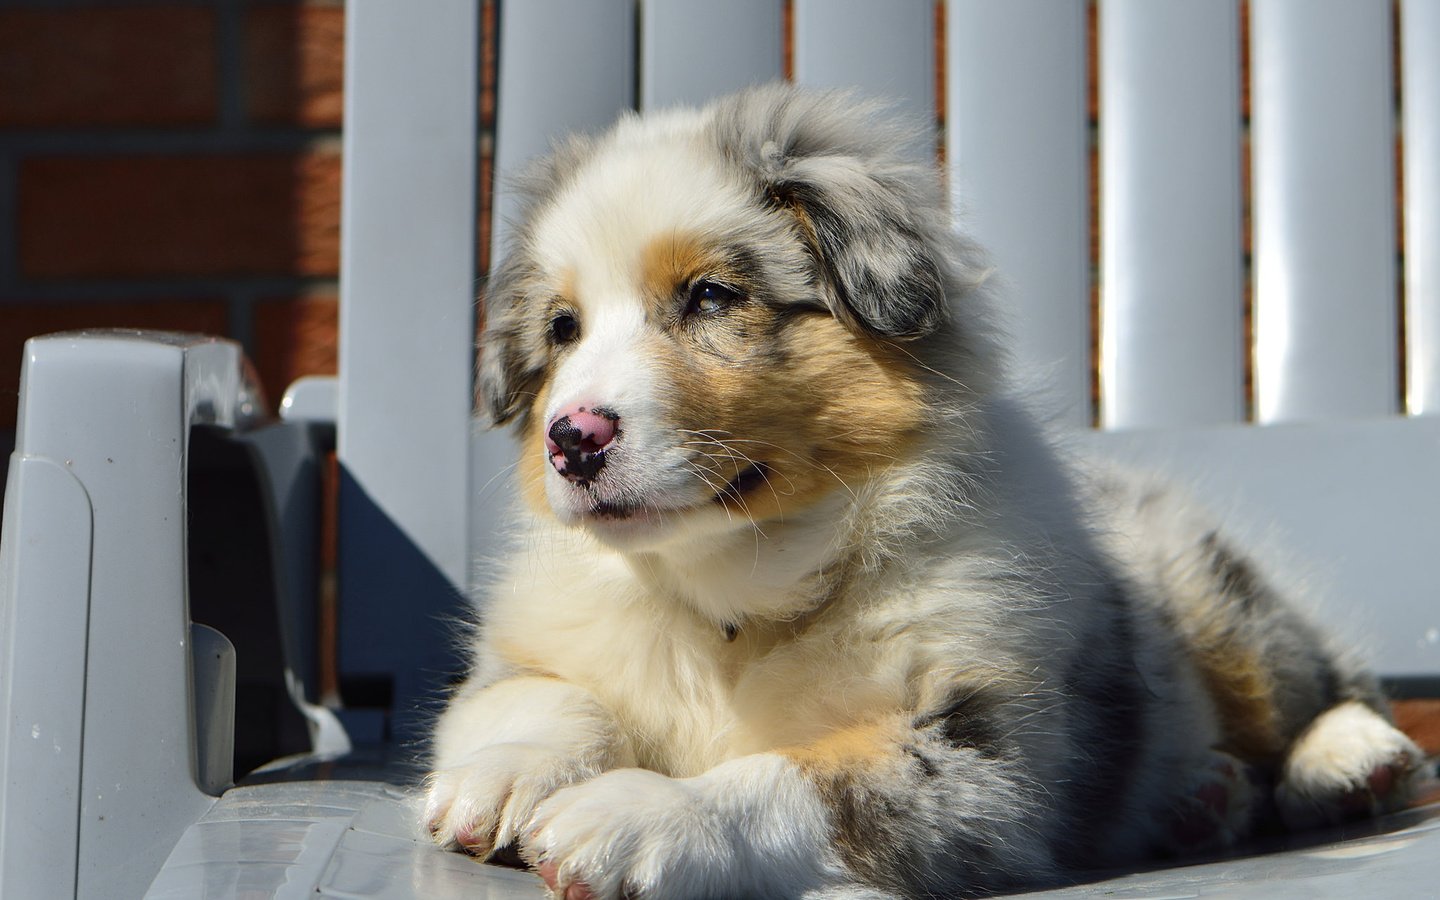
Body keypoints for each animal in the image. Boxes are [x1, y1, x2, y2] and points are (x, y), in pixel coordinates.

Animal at [420, 82, 1428, 892]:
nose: (571, 441)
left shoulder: (981, 759)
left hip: (1216, 601)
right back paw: (1201, 797)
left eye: (711, 296)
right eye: (563, 329)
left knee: (1326, 679)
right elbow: (543, 697)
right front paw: (504, 773)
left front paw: (638, 814)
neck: (732, 598)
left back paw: (1350, 761)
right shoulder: (526, 653)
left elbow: (793, 777)